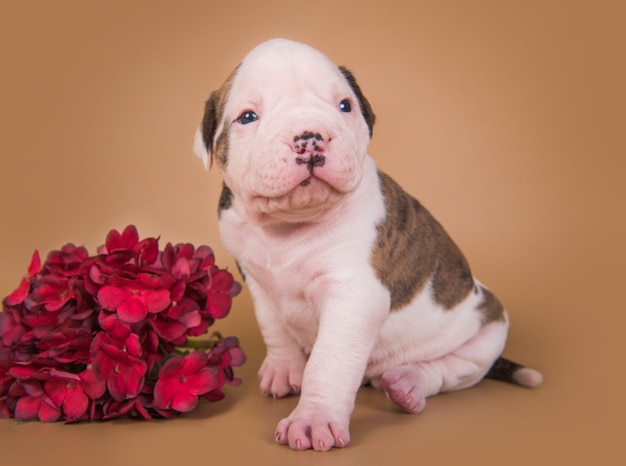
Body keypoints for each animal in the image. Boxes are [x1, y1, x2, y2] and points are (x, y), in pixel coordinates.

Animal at [193, 38, 540, 450]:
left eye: (344, 106)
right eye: (248, 117)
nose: (309, 137)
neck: (287, 226)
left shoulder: (354, 296)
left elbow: (329, 361)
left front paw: (314, 418)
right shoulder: (257, 282)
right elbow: (274, 328)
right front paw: (283, 370)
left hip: (488, 328)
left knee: (452, 369)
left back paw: (409, 384)